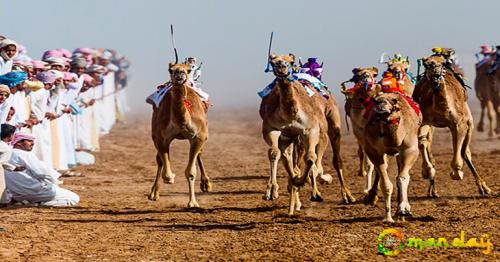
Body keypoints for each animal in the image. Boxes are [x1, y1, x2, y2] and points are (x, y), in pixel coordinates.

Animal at [147, 61, 212, 207]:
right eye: (170, 70)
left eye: (188, 70)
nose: (179, 74)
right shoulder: (161, 138)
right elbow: (166, 172)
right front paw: (171, 178)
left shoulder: (199, 137)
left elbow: (191, 172)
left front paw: (193, 203)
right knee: (159, 160)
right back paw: (154, 193)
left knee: (199, 154)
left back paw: (206, 184)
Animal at [260, 53, 354, 215]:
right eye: (272, 61)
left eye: (290, 62)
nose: (282, 67)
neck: (290, 114)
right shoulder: (272, 129)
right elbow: (275, 154)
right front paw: (273, 190)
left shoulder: (312, 130)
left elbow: (311, 160)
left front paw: (314, 189)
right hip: (292, 138)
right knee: (287, 157)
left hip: (333, 123)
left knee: (336, 158)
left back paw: (346, 195)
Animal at [362, 93, 420, 222]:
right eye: (375, 101)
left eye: (393, 101)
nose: (381, 104)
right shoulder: (373, 151)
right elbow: (386, 184)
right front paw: (388, 218)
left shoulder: (410, 149)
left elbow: (402, 178)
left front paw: (404, 209)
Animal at [412, 55, 490, 199]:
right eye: (426, 64)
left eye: (442, 64)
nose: (436, 75)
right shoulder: (425, 120)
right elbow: (422, 142)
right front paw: (427, 171)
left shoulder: (459, 124)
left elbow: (460, 149)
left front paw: (457, 173)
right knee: (428, 144)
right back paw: (432, 190)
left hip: (469, 121)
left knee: (465, 152)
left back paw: (484, 188)